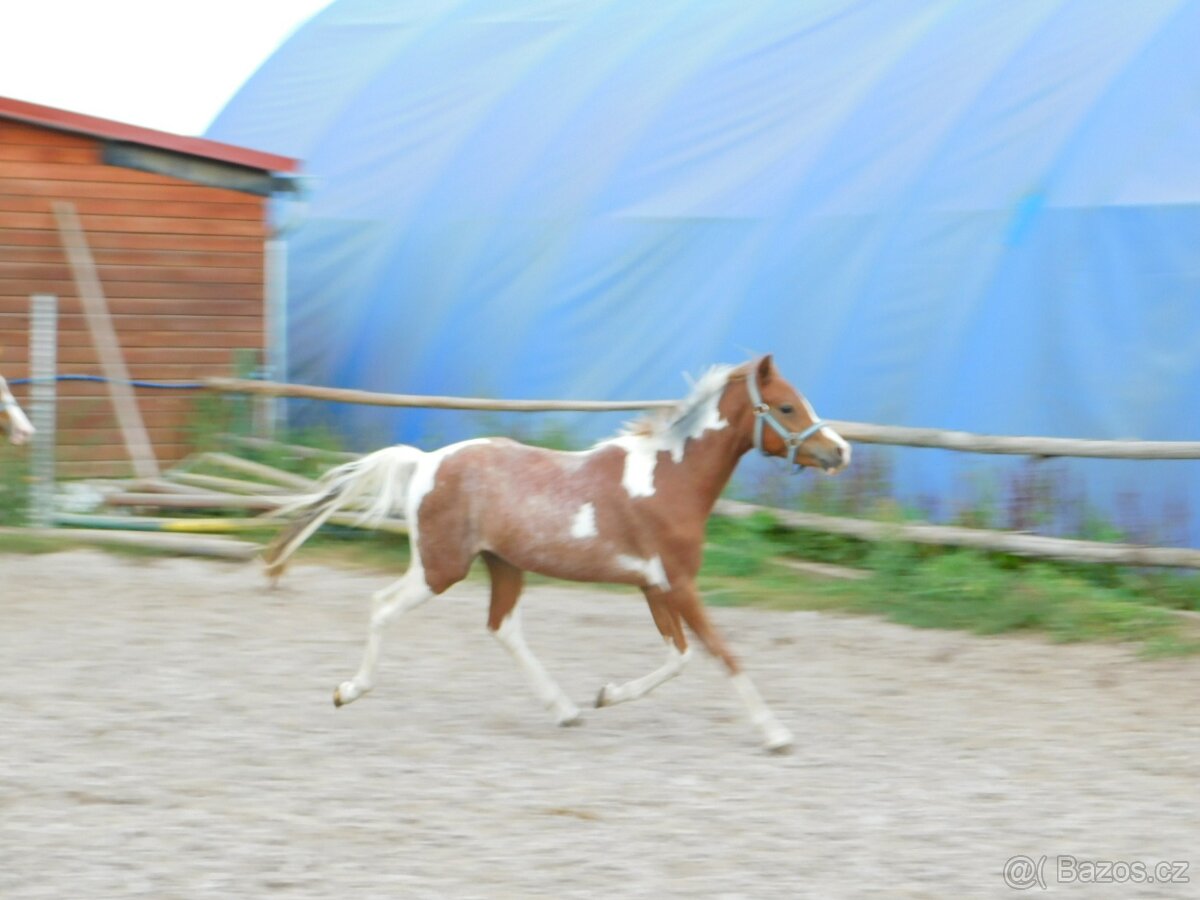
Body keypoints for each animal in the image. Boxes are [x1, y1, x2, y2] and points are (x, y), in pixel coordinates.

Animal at [265, 355, 850, 752]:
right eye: (786, 406)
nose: (839, 452)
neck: (669, 479)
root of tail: (426, 462)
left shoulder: (655, 585)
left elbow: (680, 655)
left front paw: (606, 694)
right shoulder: (679, 583)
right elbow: (723, 654)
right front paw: (776, 733)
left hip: (502, 565)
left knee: (503, 627)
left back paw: (566, 709)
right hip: (441, 568)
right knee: (383, 606)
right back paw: (348, 691)